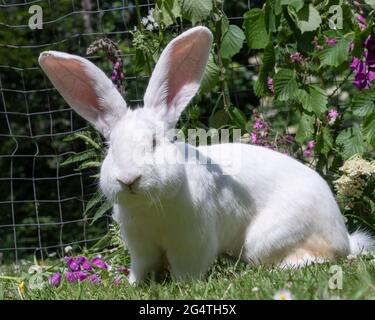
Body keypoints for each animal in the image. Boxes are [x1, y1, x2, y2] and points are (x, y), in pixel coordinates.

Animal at [39, 26, 374, 282]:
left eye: (155, 142)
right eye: (111, 148)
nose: (128, 179)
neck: (150, 206)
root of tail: (343, 235)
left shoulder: (192, 242)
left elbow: (188, 270)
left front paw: (182, 285)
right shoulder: (140, 246)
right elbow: (142, 268)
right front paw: (132, 284)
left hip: (269, 238)